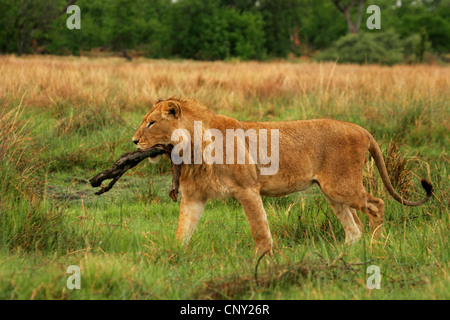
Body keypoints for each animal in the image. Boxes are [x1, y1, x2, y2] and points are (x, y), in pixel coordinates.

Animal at [133, 97, 432, 252]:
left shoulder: (247, 188)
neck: (192, 147)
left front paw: (262, 259)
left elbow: (259, 228)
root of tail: (360, 128)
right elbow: (183, 229)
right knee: (353, 224)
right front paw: (174, 256)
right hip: (331, 192)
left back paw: (375, 243)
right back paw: (348, 250)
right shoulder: (194, 195)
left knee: (376, 204)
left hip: (340, 185)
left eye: (151, 123)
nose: (134, 141)